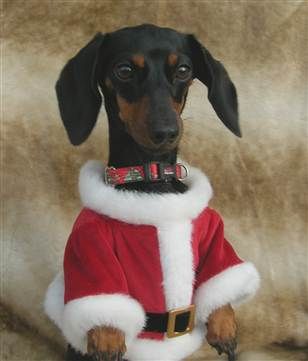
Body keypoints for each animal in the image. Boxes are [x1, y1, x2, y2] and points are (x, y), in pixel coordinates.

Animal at [44, 23, 258, 358]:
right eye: (124, 70)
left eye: (183, 70)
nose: (166, 131)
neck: (151, 176)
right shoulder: (88, 241)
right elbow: (102, 293)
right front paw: (107, 335)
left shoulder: (212, 232)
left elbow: (219, 274)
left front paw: (223, 322)